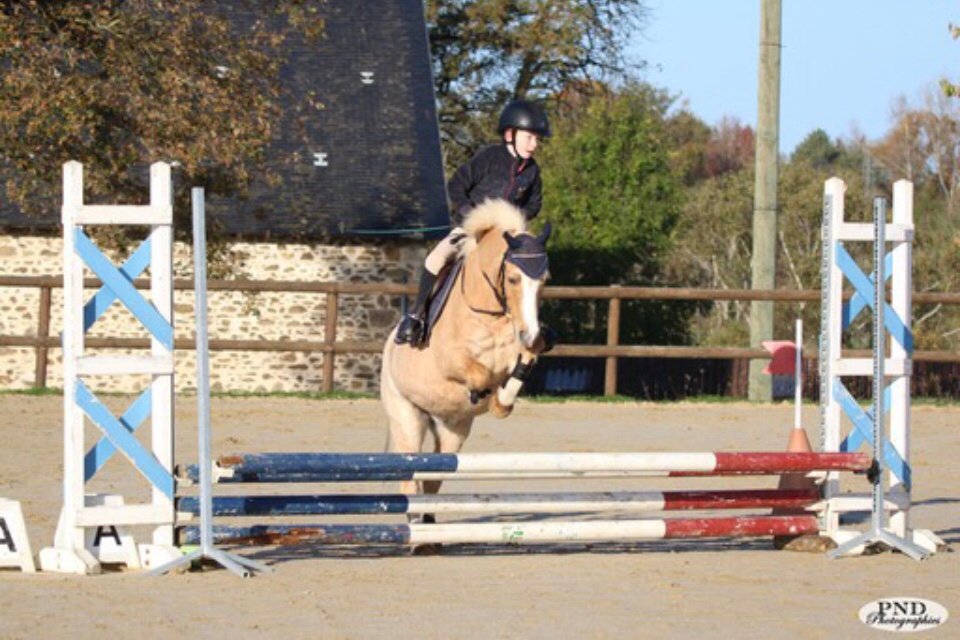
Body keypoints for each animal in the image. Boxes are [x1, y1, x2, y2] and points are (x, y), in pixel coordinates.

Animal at [380, 199, 551, 510]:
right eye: (512, 279)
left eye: (545, 280)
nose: (531, 335)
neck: (491, 313)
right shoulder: (450, 361)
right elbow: (480, 374)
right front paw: (486, 395)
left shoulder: (521, 351)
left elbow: (520, 368)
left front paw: (501, 402)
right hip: (407, 416)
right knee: (411, 480)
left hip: (453, 431)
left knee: (432, 479)